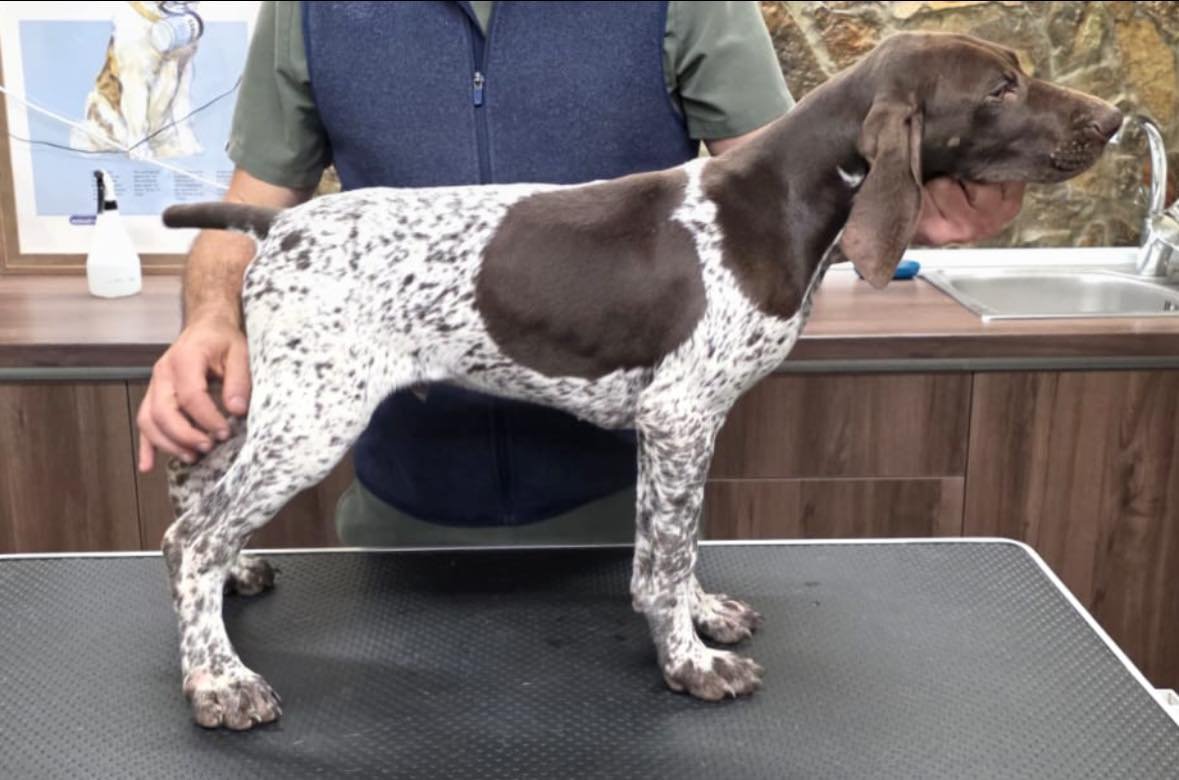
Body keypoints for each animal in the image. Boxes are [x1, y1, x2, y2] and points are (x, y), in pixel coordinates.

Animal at [71, 1, 203, 160]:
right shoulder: (135, 78)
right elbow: (139, 119)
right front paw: (140, 152)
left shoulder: (185, 71)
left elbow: (184, 115)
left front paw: (189, 145)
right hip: (96, 101)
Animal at [156, 31, 1122, 731]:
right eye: (1000, 89)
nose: (1113, 120)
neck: (778, 203)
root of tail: (280, 225)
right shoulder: (679, 415)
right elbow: (657, 565)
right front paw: (689, 662)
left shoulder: (685, 430)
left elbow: (679, 542)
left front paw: (702, 615)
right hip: (315, 417)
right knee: (196, 539)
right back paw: (218, 681)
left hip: (272, 401)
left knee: (186, 514)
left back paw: (231, 590)